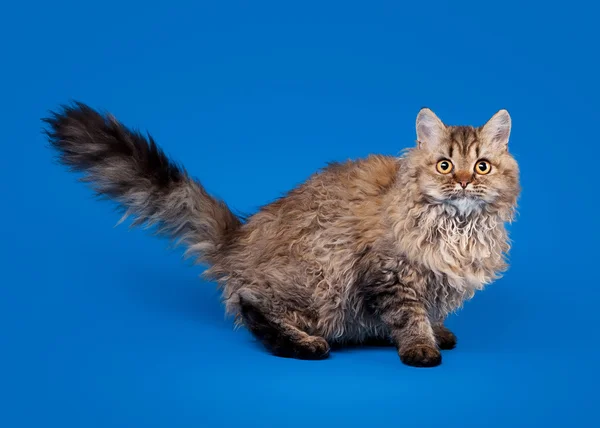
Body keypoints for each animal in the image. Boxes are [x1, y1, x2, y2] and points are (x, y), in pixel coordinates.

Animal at [43, 103, 520, 368]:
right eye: (444, 165)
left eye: (481, 166)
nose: (463, 182)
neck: (458, 228)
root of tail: (239, 239)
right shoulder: (389, 276)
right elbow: (409, 317)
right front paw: (421, 346)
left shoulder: (434, 281)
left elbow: (430, 312)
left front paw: (437, 331)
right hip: (318, 282)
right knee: (251, 305)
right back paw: (308, 345)